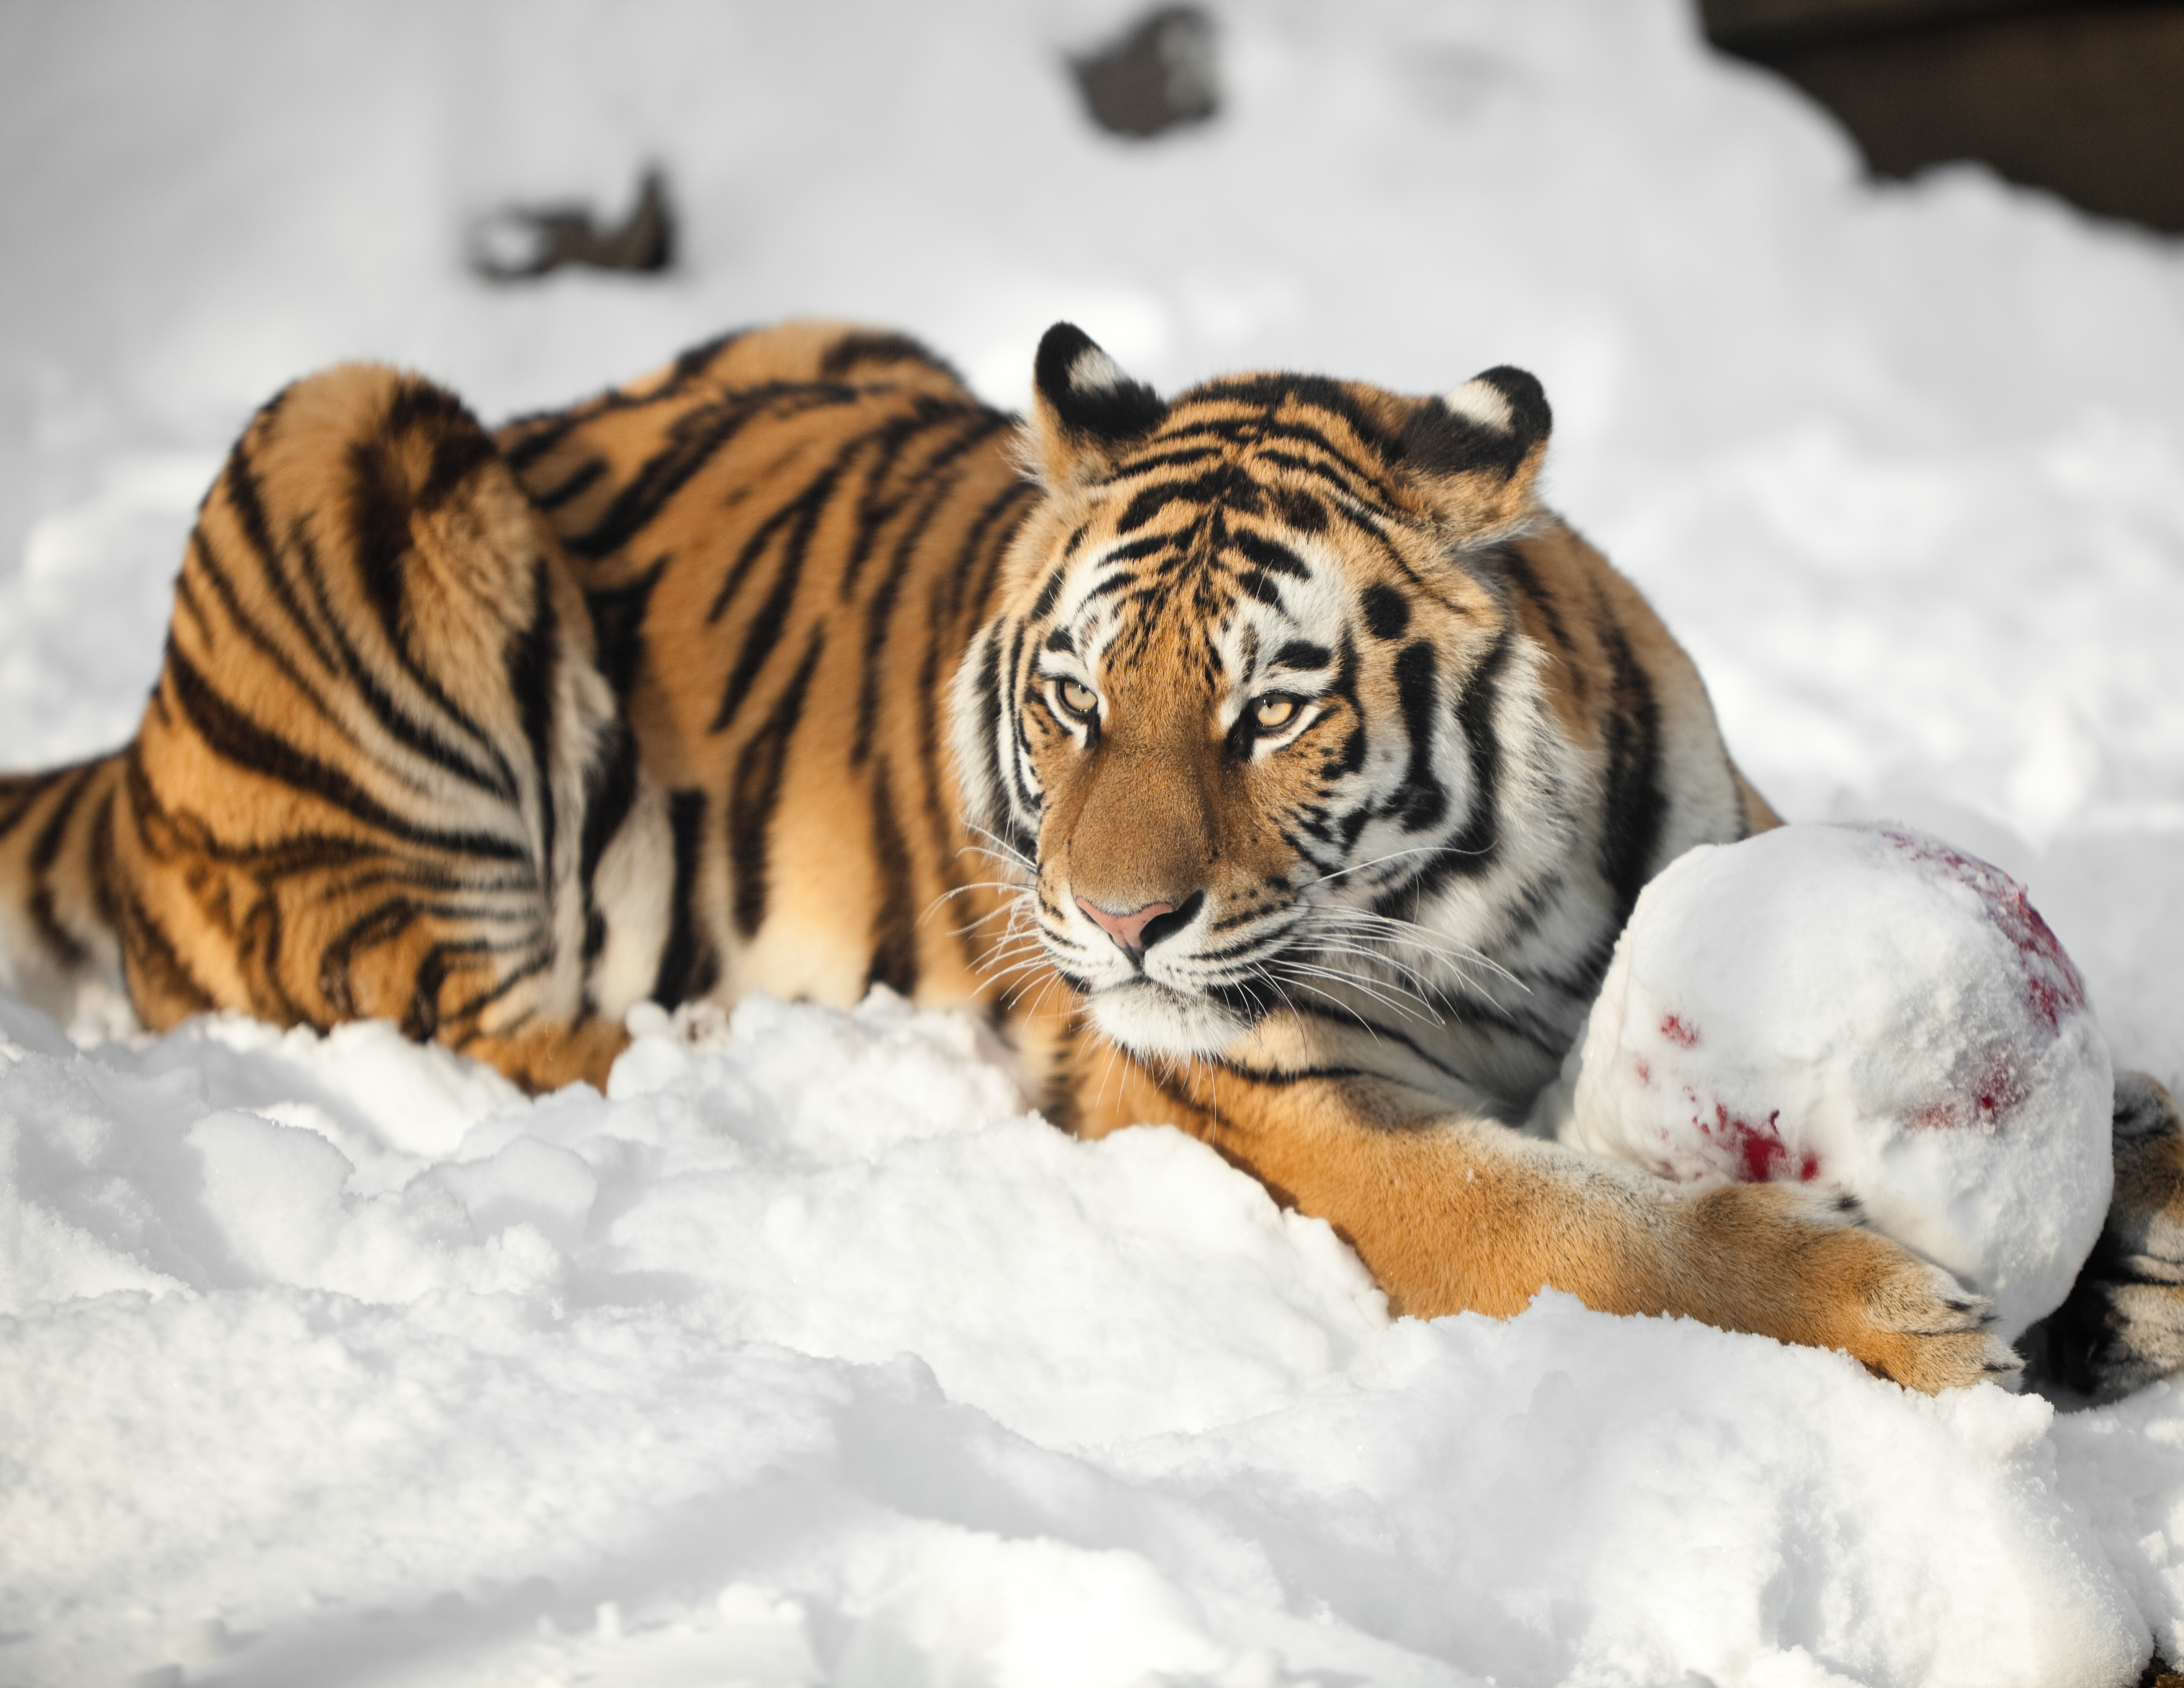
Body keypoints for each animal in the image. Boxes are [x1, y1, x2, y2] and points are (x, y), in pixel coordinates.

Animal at [0, 319, 2175, 1397]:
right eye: (1067, 698)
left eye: (1271, 707)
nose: (1114, 926)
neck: (1491, 914)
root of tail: (126, 759)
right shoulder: (1278, 1108)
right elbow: (1592, 1230)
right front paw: (1902, 1315)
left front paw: (2132, 1218)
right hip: (350, 440)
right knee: (450, 999)